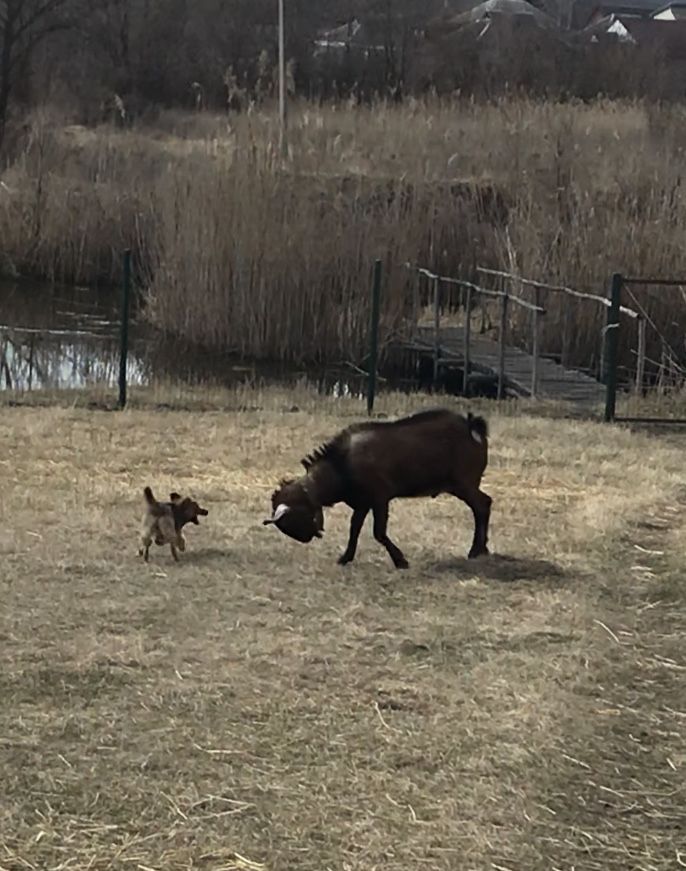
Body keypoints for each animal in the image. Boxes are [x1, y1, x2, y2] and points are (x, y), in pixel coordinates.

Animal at [264, 410, 494, 568]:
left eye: (291, 521)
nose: (308, 538)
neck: (341, 464)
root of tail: (473, 425)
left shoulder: (379, 497)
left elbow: (378, 532)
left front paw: (400, 560)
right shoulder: (362, 503)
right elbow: (354, 529)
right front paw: (345, 557)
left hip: (463, 482)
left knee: (482, 505)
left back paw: (476, 550)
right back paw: (482, 548)